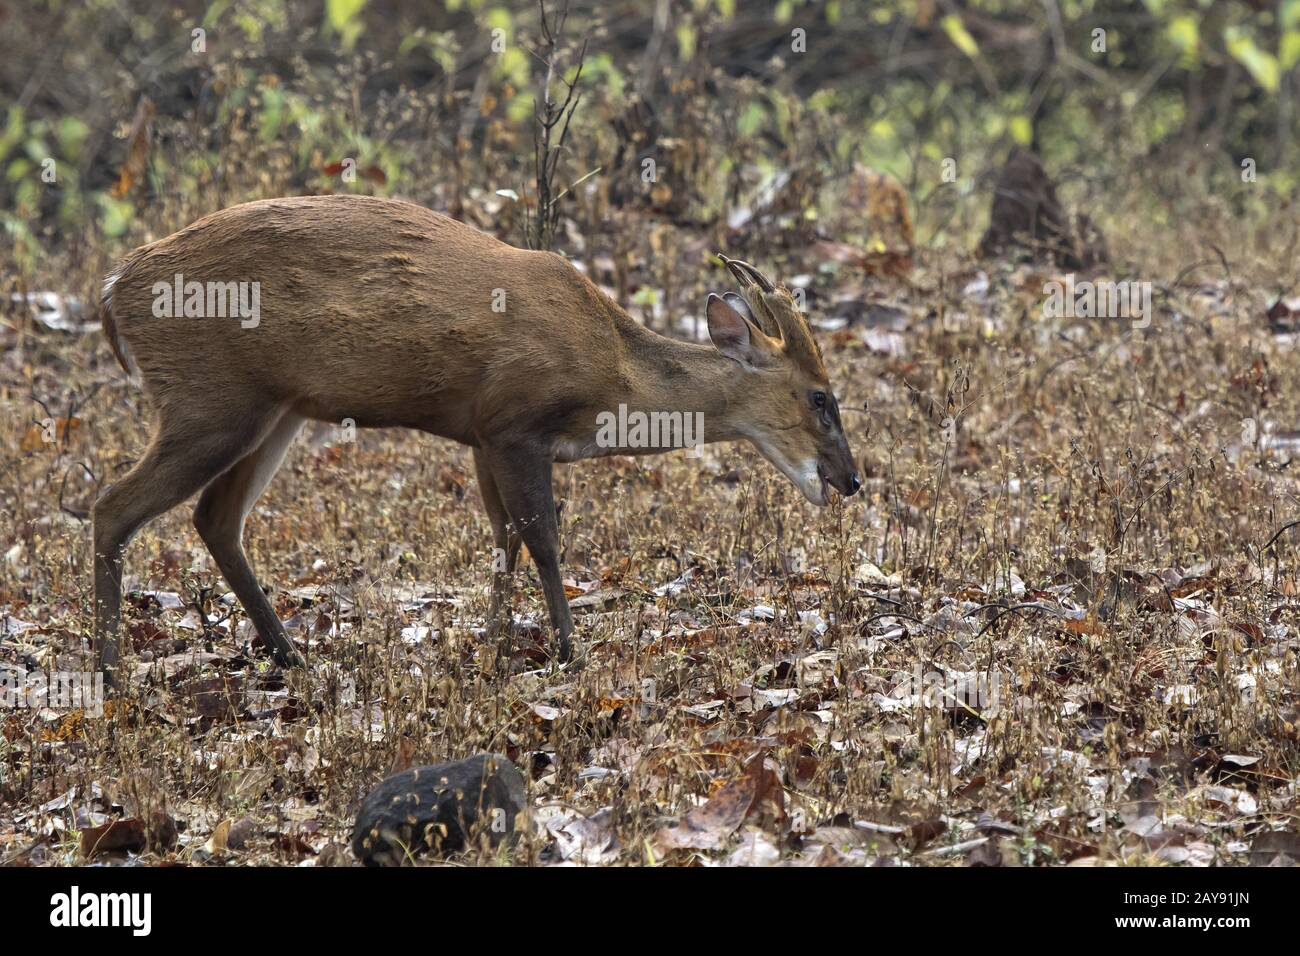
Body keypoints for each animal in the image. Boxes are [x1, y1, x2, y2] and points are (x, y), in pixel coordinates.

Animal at [94, 195, 863, 686]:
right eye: (820, 398)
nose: (853, 479)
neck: (612, 369)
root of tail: (113, 286)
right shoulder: (516, 423)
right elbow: (543, 538)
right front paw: (569, 652)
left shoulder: (481, 434)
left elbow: (505, 538)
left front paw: (491, 645)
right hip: (208, 399)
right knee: (113, 507)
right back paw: (111, 673)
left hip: (274, 408)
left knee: (215, 517)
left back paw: (290, 656)